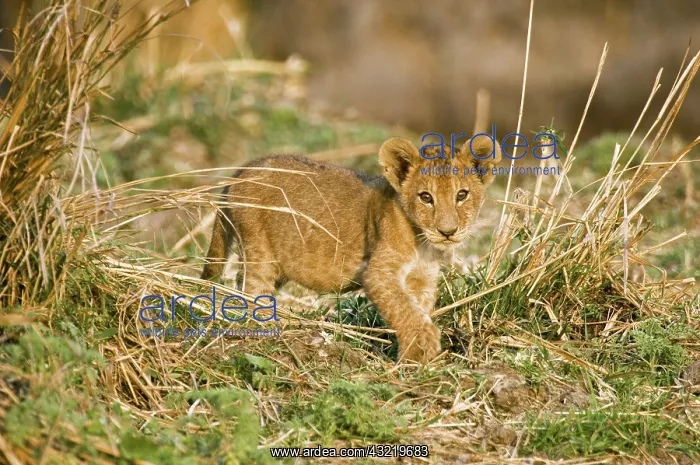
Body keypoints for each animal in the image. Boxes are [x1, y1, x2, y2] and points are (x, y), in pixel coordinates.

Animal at [201, 136, 501, 363]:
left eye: (462, 195)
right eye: (426, 198)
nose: (447, 232)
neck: (423, 243)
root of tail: (240, 172)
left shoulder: (422, 279)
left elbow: (417, 310)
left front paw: (415, 356)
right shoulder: (379, 273)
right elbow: (406, 311)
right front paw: (422, 349)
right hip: (259, 247)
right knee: (252, 289)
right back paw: (264, 328)